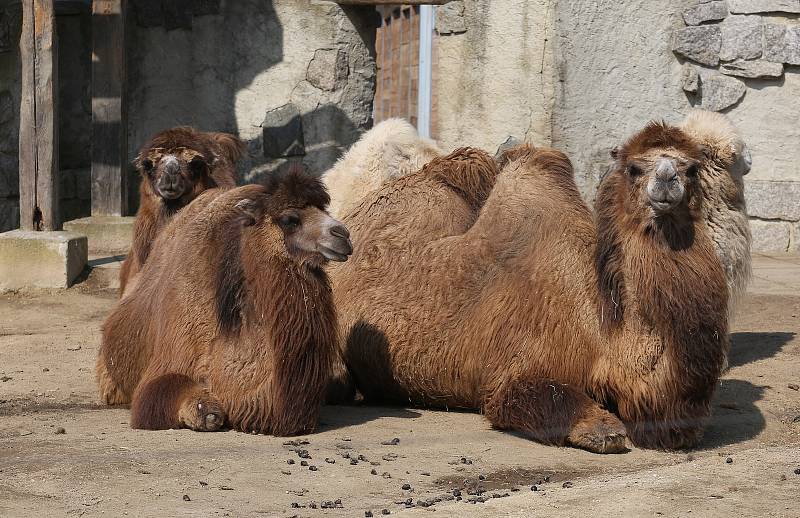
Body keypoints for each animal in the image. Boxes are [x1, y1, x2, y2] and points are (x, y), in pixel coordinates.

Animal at [330, 111, 752, 452]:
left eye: (692, 167)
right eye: (634, 168)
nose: (667, 181)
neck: (604, 331)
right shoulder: (517, 366)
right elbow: (537, 398)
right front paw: (601, 429)